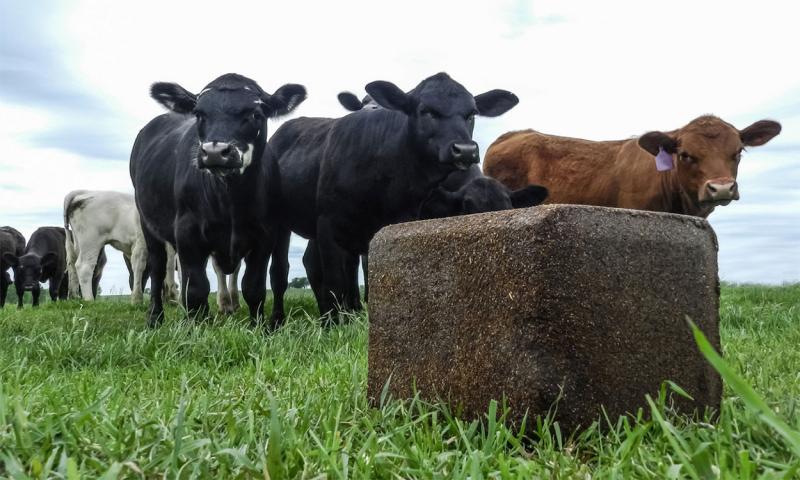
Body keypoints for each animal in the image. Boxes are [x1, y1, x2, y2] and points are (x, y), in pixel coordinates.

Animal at [130, 73, 306, 328]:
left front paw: (258, 327)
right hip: (147, 223)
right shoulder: (187, 231)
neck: (229, 201)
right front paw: (196, 329)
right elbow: (195, 288)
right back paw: (155, 318)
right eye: (199, 114)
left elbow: (253, 287)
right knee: (158, 267)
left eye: (255, 114)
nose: (215, 152)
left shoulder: (264, 236)